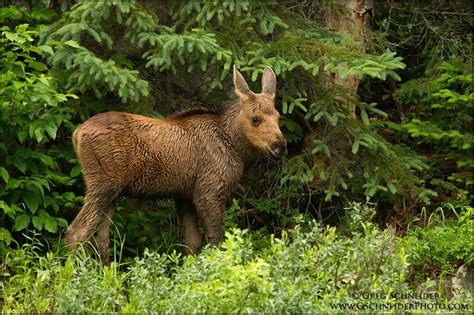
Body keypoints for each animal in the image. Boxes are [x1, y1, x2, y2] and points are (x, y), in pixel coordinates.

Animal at [65, 65, 286, 262]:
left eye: (278, 116)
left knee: (101, 238)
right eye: (255, 119)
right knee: (76, 232)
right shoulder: (209, 191)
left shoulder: (184, 196)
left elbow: (192, 242)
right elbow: (215, 241)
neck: (235, 145)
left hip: (111, 193)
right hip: (102, 186)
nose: (280, 146)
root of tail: (76, 134)